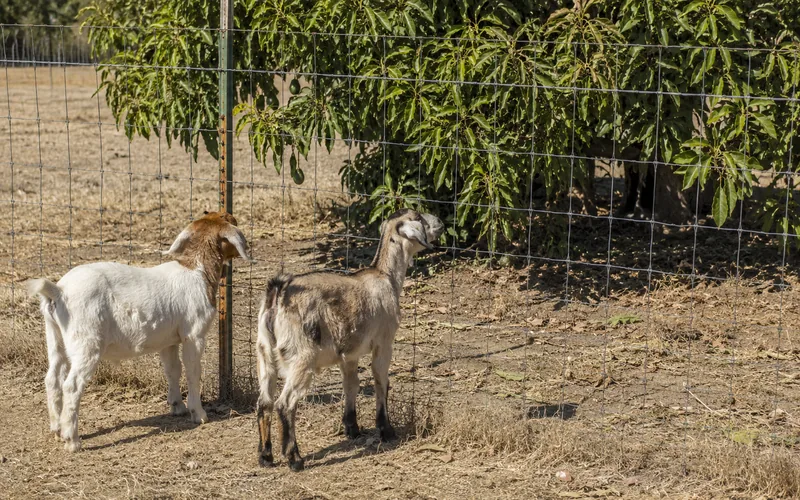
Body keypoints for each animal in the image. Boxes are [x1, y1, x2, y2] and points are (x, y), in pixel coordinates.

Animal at [26, 210, 253, 452]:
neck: (196, 271)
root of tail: (59, 291)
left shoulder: (169, 340)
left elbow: (173, 369)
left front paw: (177, 406)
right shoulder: (194, 334)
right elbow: (192, 371)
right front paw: (198, 414)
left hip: (55, 335)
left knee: (52, 377)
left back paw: (56, 429)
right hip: (86, 339)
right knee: (72, 385)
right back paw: (72, 440)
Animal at [255, 208, 444, 470]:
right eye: (419, 218)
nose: (441, 223)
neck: (385, 277)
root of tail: (278, 295)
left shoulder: (349, 353)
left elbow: (351, 384)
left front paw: (352, 428)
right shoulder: (384, 342)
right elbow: (381, 381)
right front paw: (386, 430)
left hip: (264, 352)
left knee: (264, 402)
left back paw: (265, 456)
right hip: (302, 356)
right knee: (285, 403)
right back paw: (294, 458)